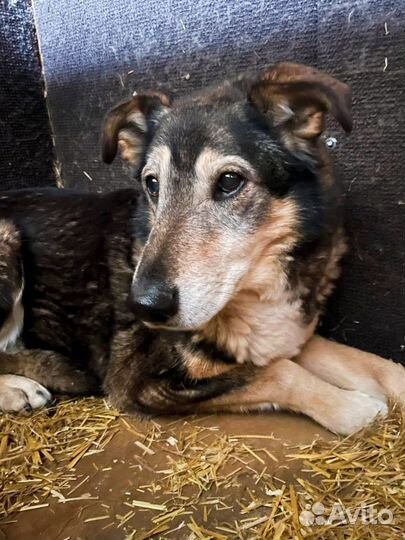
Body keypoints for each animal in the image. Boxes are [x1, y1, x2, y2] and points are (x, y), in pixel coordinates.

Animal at [0, 64, 404, 434]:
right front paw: (353, 407)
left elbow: (366, 360)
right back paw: (19, 388)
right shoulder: (139, 380)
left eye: (229, 181)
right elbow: (278, 372)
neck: (254, 293)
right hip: (7, 242)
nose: (143, 306)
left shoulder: (289, 336)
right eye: (152, 185)